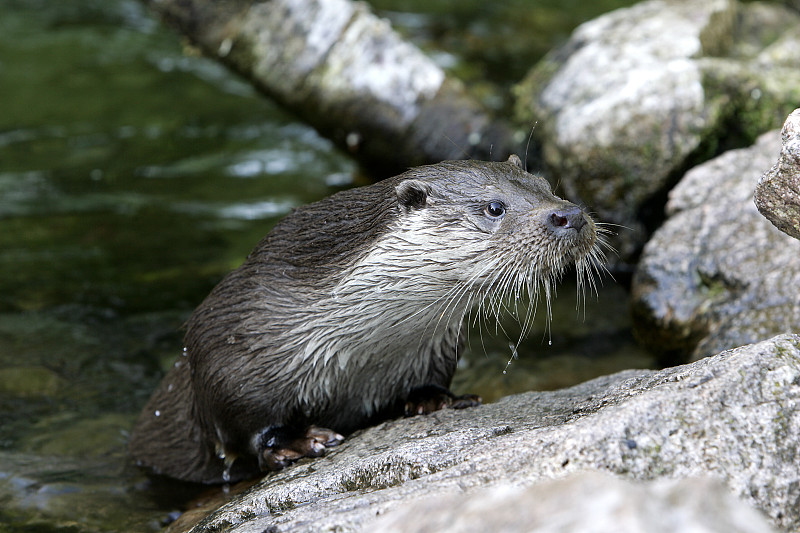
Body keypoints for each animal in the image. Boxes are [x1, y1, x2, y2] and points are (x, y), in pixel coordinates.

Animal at [128, 155, 600, 482]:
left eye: (546, 185)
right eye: (494, 207)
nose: (570, 215)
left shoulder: (434, 347)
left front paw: (435, 400)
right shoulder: (227, 341)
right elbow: (240, 424)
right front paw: (298, 441)